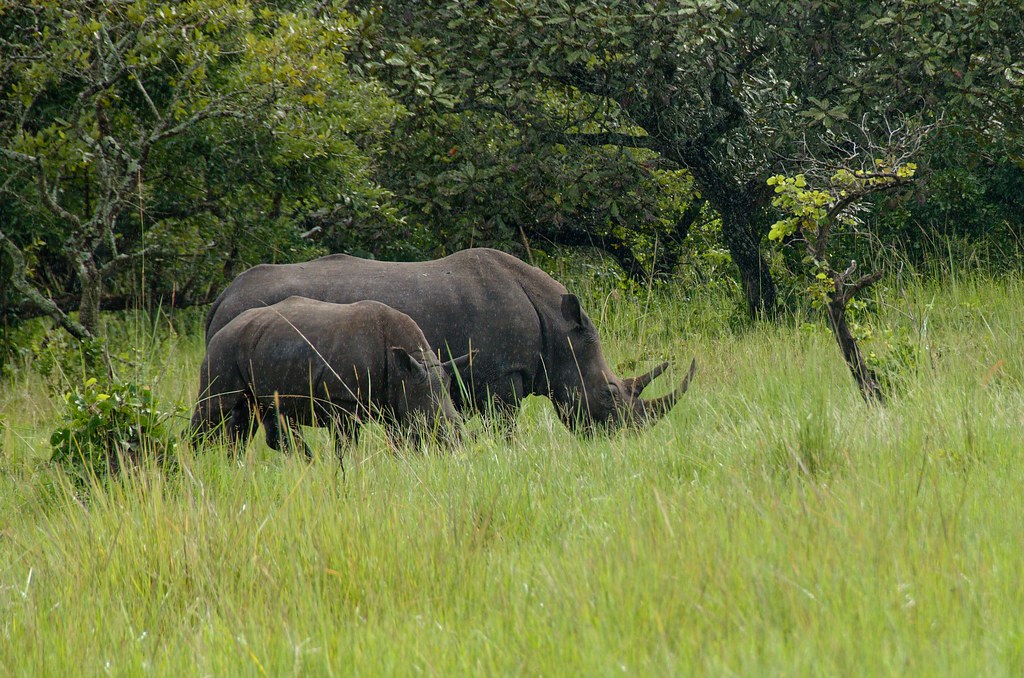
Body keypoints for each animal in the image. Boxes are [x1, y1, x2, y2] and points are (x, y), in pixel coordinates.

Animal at [191, 296, 472, 456]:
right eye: (433, 426)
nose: (456, 445)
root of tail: (220, 324)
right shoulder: (343, 402)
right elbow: (345, 447)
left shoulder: (396, 401)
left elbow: (398, 443)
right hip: (224, 348)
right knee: (213, 410)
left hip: (260, 345)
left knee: (252, 414)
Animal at [205, 248, 695, 432]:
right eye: (610, 395)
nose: (627, 437)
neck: (558, 329)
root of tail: (221, 298)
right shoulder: (501, 378)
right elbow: (506, 430)